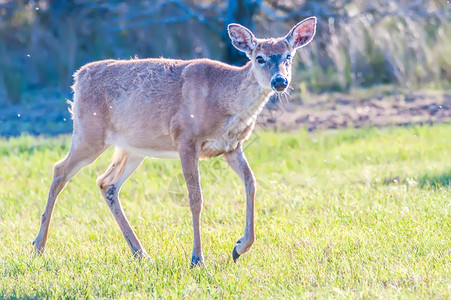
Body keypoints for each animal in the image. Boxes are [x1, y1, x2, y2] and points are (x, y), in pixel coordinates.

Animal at [32, 16, 318, 266]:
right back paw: (39, 246)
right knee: (59, 170)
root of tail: (78, 77)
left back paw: (140, 253)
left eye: (288, 56)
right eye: (260, 58)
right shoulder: (186, 139)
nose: (280, 81)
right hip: (89, 133)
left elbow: (251, 183)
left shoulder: (231, 146)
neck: (222, 99)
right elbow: (195, 198)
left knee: (106, 183)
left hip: (132, 147)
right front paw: (197, 258)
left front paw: (239, 247)